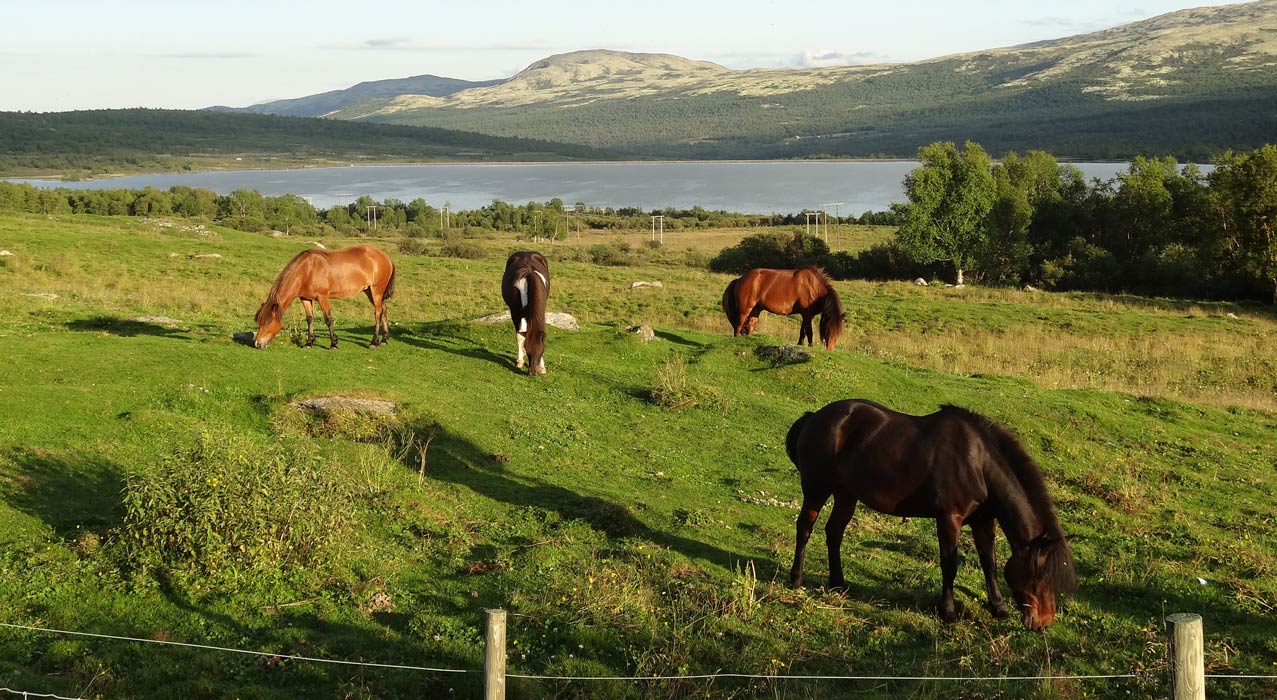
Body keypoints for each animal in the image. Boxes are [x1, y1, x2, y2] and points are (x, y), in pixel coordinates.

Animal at [247, 245, 388, 350]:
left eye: (268, 322)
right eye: (259, 322)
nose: (257, 344)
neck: (306, 270)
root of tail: (384, 256)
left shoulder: (322, 297)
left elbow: (328, 319)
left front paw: (333, 344)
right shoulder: (305, 298)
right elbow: (309, 319)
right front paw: (309, 343)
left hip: (376, 291)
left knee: (377, 313)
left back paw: (373, 342)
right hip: (370, 291)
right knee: (384, 310)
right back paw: (384, 340)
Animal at [786, 395, 1077, 631]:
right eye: (1041, 576)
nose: (1044, 623)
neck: (977, 464)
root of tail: (815, 416)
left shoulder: (984, 521)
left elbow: (989, 563)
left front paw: (999, 607)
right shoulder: (949, 519)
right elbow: (950, 565)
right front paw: (948, 611)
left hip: (846, 495)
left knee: (834, 533)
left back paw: (838, 583)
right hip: (816, 489)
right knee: (804, 529)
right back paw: (796, 579)